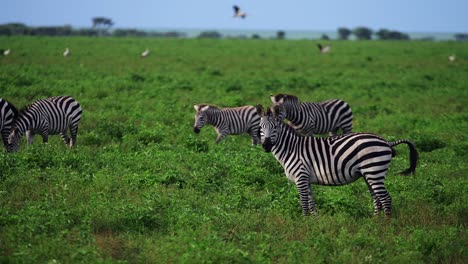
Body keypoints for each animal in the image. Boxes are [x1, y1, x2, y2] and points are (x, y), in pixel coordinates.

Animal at [254, 105, 418, 217]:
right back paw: (375, 222)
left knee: (386, 199)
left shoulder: (300, 177)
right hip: (369, 174)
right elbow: (311, 202)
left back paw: (386, 226)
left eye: (275, 127)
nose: (266, 145)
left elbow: (304, 202)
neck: (291, 148)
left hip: (374, 171)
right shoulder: (306, 179)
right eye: (261, 127)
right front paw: (315, 221)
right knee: (377, 198)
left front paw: (304, 222)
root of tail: (386, 142)